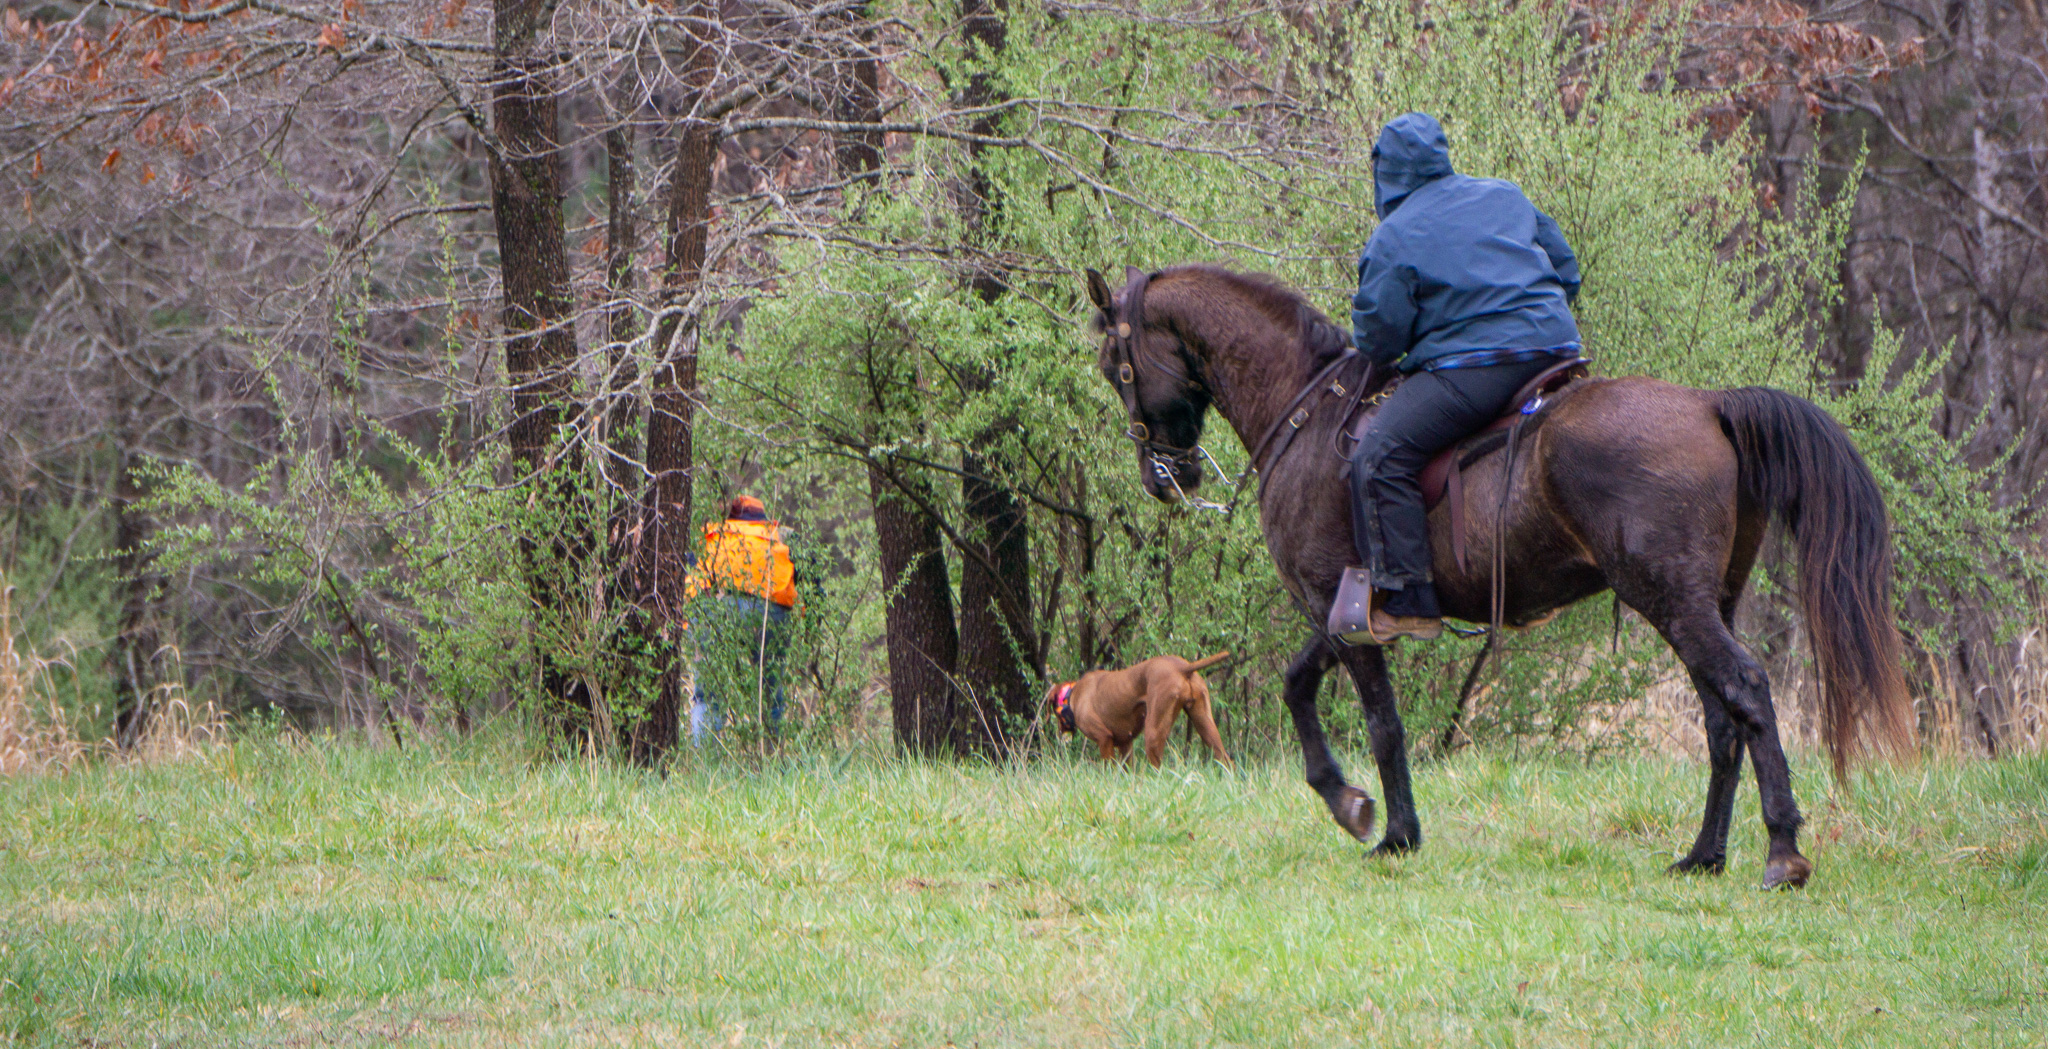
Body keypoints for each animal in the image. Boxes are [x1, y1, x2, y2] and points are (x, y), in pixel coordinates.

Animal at [1048, 651, 1220, 766]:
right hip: (1207, 728)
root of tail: (1183, 667)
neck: (1072, 695)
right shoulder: (1125, 744)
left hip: (1152, 735)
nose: (1059, 730)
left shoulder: (1104, 738)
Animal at [1089, 262, 1916, 885]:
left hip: (1672, 600)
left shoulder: (1339, 605)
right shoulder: (1349, 613)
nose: (1165, 477)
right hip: (1703, 601)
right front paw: (1362, 808)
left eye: (1116, 368)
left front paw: (1380, 823)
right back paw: (1703, 854)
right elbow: (1306, 686)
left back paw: (1782, 849)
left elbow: (1375, 721)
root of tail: (1712, 406)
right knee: (1722, 718)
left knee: (1744, 691)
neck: (1308, 412)